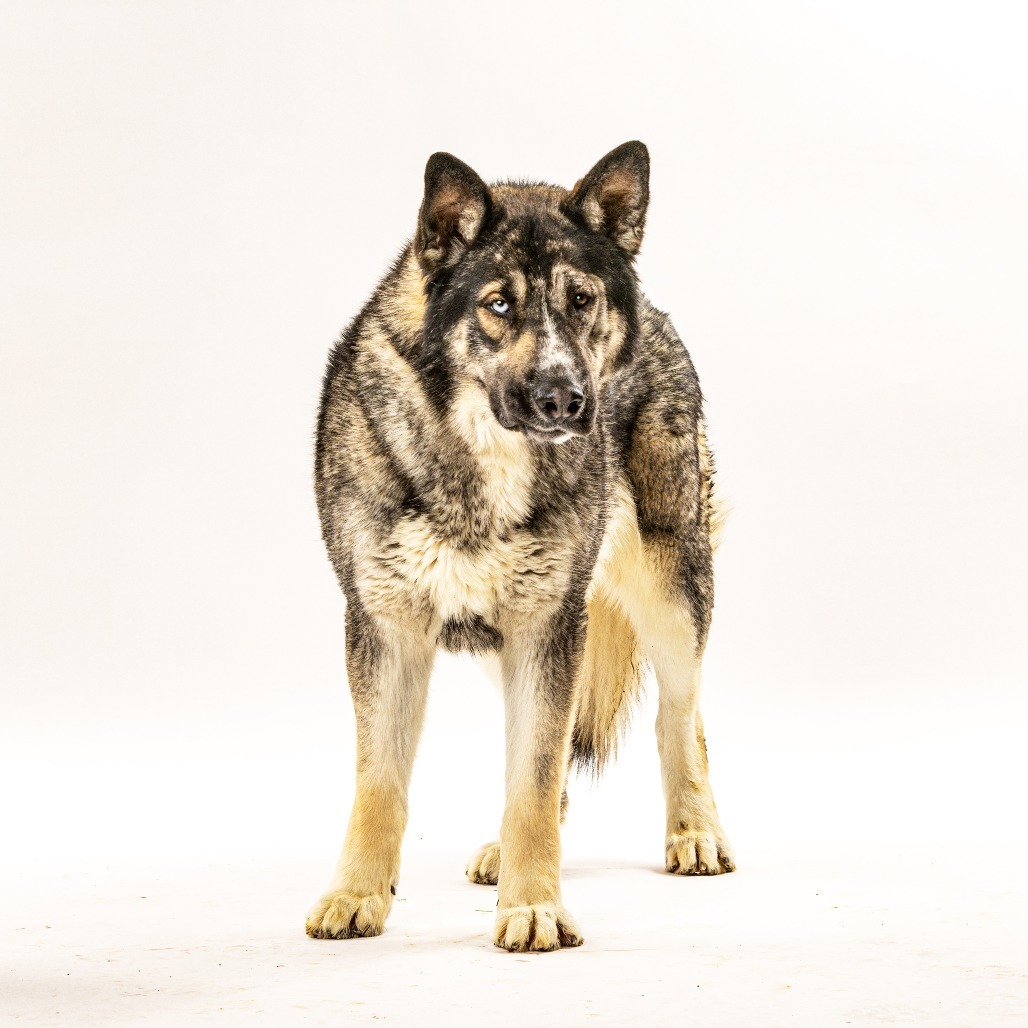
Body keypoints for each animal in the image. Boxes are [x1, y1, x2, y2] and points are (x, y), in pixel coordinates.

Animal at [306, 141, 734, 952]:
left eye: (581, 300)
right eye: (498, 304)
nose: (564, 400)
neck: (481, 464)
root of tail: (658, 318)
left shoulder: (548, 626)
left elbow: (531, 781)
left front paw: (533, 906)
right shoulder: (387, 630)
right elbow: (381, 784)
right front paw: (357, 896)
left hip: (670, 596)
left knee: (679, 717)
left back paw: (694, 832)